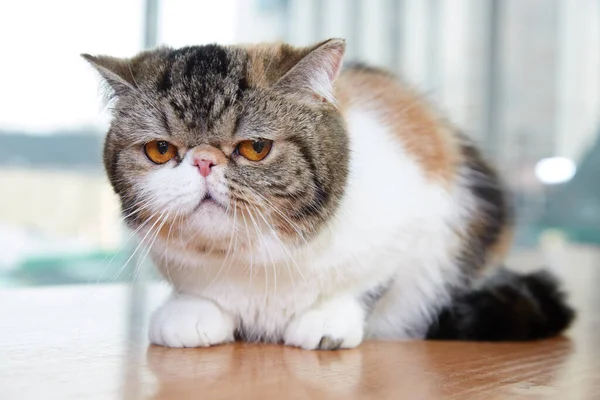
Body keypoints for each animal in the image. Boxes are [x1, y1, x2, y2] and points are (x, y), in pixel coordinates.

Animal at [82, 38, 576, 350]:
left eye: (255, 147)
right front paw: (191, 313)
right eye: (160, 150)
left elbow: (371, 282)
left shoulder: (420, 215)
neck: (255, 264)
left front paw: (328, 320)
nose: (203, 161)